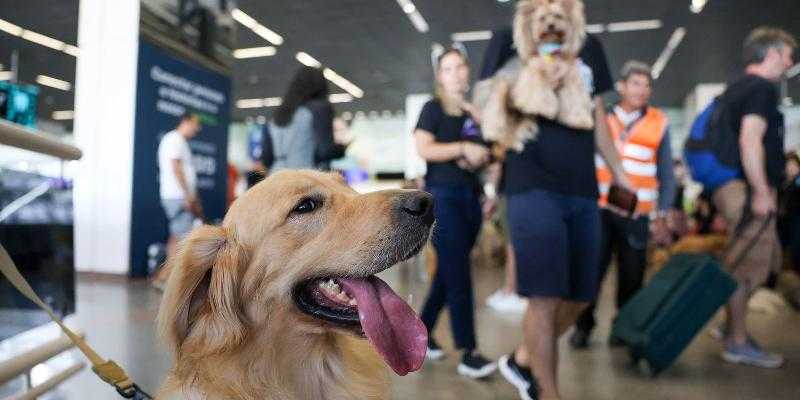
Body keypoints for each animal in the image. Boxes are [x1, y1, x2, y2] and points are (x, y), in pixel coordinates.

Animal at [476, 0, 592, 151]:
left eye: (558, 16)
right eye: (542, 18)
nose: (551, 25)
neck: (551, 51)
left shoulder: (569, 77)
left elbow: (575, 99)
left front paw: (580, 120)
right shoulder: (534, 72)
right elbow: (539, 91)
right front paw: (546, 108)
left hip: (523, 119)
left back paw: (513, 143)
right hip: (500, 88)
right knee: (494, 110)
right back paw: (492, 131)